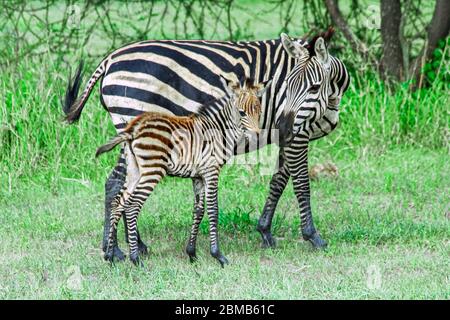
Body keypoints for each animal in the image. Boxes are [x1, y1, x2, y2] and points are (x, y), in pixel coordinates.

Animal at [96, 78, 268, 268]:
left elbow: (198, 211)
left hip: (134, 171)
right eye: (242, 112)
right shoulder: (211, 171)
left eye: (259, 111)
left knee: (119, 203)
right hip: (152, 171)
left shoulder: (198, 176)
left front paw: (192, 254)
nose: (256, 136)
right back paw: (135, 259)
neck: (219, 130)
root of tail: (134, 128)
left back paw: (110, 256)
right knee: (132, 205)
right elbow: (213, 210)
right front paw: (218, 255)